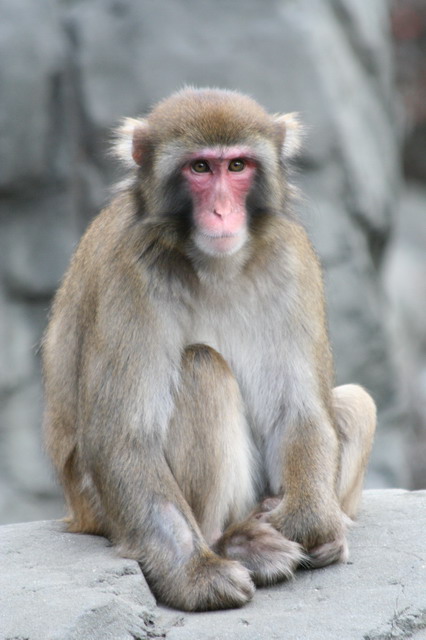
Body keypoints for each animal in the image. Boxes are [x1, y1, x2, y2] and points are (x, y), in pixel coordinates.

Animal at [42, 88, 376, 612]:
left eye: (237, 166)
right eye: (200, 168)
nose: (222, 211)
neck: (213, 264)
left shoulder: (291, 256)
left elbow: (299, 411)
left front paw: (307, 523)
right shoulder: (131, 266)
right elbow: (124, 438)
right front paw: (196, 576)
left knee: (355, 403)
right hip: (97, 508)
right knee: (202, 366)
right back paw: (230, 543)